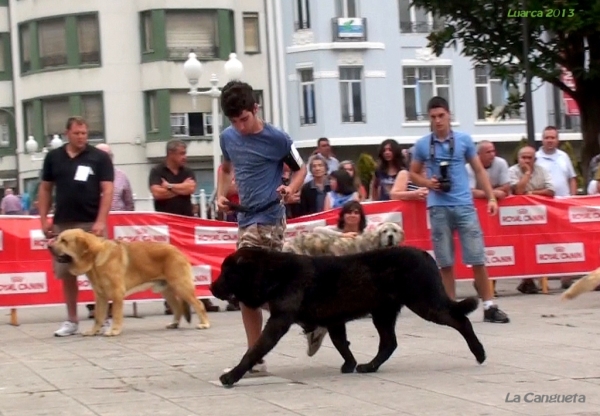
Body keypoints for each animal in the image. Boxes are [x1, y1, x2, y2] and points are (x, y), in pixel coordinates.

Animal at [48, 229, 210, 336]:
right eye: (58, 238)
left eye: (64, 241)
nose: (49, 245)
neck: (95, 257)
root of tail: (178, 250)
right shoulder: (100, 296)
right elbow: (98, 316)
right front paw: (93, 331)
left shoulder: (117, 293)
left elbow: (116, 314)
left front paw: (114, 330)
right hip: (167, 290)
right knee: (177, 308)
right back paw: (174, 323)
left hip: (181, 286)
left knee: (199, 304)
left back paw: (204, 323)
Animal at [211, 247, 488, 386]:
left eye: (226, 273)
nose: (212, 287)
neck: (274, 272)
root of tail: (426, 255)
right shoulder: (335, 321)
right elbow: (341, 344)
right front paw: (351, 364)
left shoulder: (278, 322)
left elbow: (254, 350)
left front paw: (232, 376)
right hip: (383, 313)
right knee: (389, 343)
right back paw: (370, 366)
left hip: (425, 303)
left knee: (460, 319)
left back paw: (479, 352)